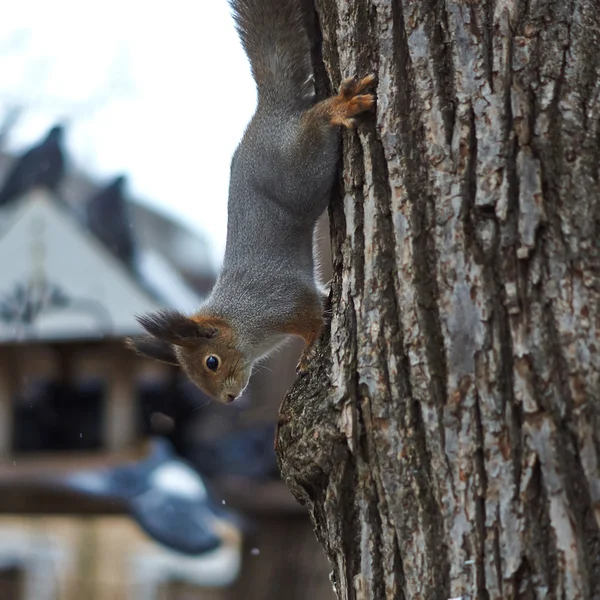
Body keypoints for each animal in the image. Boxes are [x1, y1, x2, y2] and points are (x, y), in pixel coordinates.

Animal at [126, 0, 376, 406]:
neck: (241, 322)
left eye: (211, 362)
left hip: (299, 168)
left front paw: (308, 353)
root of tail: (269, 113)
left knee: (316, 125)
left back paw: (339, 106)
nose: (228, 399)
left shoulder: (282, 303)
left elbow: (311, 321)